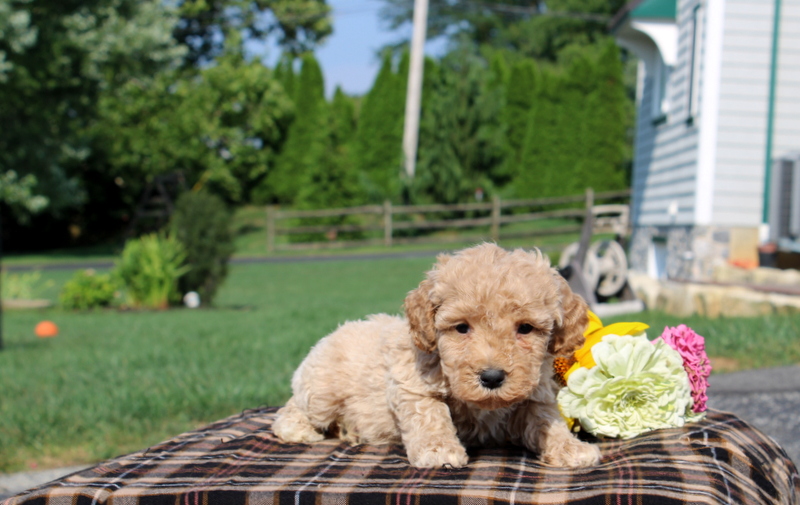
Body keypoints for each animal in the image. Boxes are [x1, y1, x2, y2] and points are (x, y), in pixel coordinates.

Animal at [274, 242, 600, 466]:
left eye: (526, 328)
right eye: (461, 328)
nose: (492, 377)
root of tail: (332, 333)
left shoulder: (535, 393)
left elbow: (547, 421)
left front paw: (571, 448)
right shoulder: (412, 383)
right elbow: (431, 416)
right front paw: (439, 451)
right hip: (322, 392)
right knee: (291, 409)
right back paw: (299, 430)